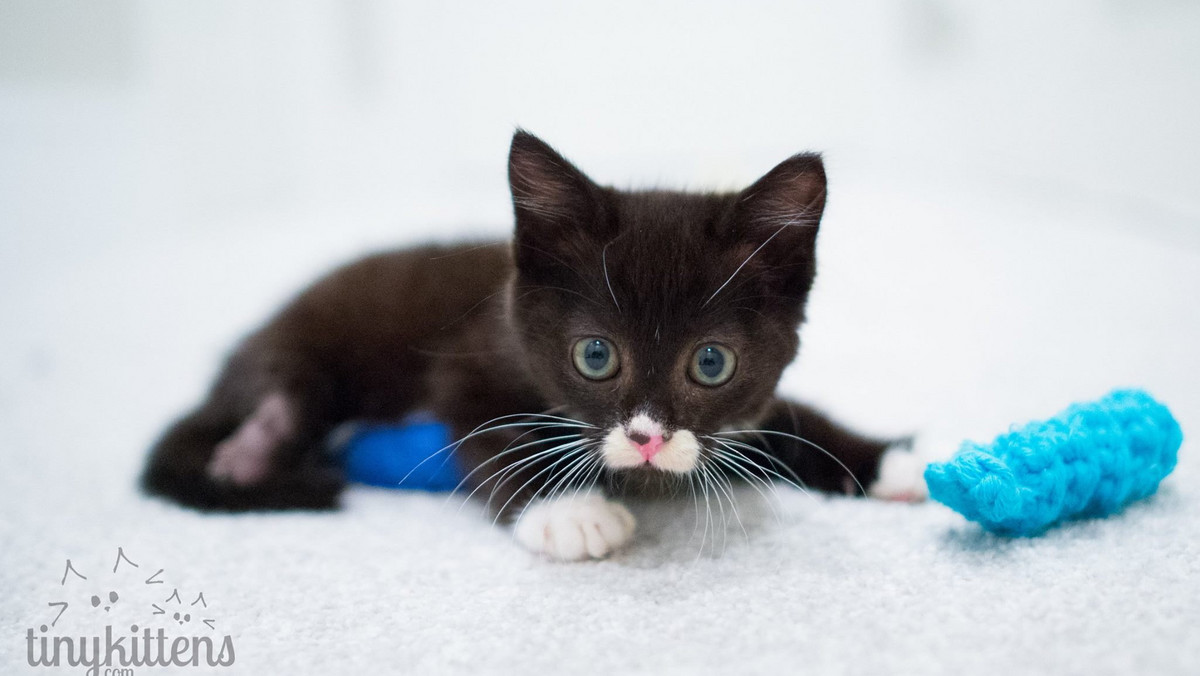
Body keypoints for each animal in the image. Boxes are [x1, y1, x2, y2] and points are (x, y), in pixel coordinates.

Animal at [142, 130, 926, 561]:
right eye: (595, 356)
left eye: (712, 363)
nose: (646, 437)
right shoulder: (468, 358)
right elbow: (495, 433)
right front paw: (570, 513)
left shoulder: (747, 409)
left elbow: (794, 420)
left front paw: (890, 461)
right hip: (300, 362)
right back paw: (255, 444)